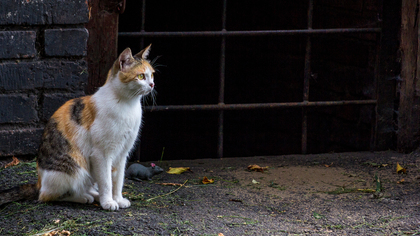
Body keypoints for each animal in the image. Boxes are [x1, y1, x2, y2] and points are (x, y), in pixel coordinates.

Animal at [0, 44, 156, 210]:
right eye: (141, 76)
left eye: (152, 75)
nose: (152, 84)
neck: (127, 104)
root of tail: (39, 183)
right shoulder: (101, 154)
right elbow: (107, 181)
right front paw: (108, 202)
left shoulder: (122, 153)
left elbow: (118, 180)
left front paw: (118, 199)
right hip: (74, 168)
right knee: (49, 195)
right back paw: (84, 197)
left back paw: (94, 195)